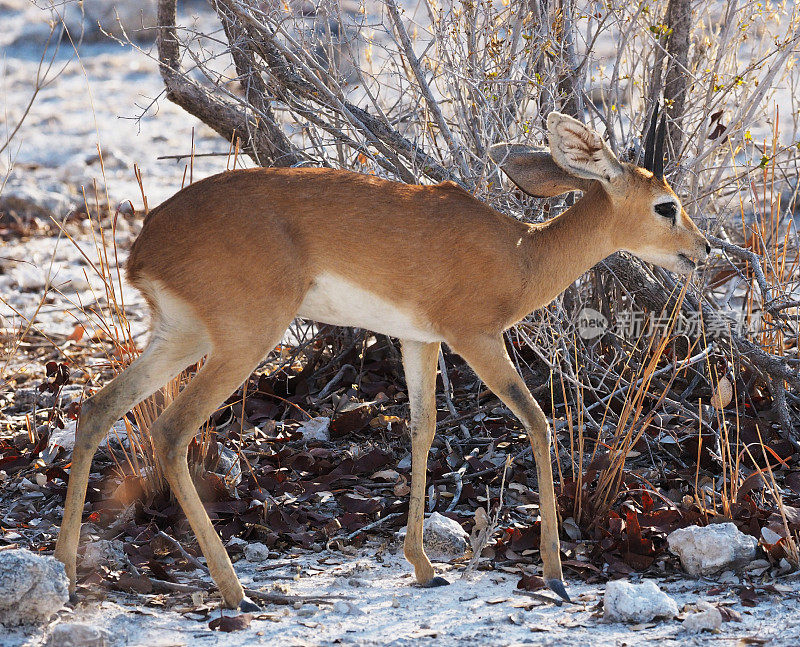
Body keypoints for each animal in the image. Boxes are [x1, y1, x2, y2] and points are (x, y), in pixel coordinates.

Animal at [54, 109, 708, 612]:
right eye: (665, 205)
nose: (702, 250)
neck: (522, 254)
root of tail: (145, 247)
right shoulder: (477, 337)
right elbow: (537, 422)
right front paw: (554, 575)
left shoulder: (420, 341)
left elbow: (423, 430)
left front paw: (423, 565)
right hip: (242, 340)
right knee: (170, 430)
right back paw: (237, 593)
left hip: (182, 335)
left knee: (98, 408)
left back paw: (65, 574)